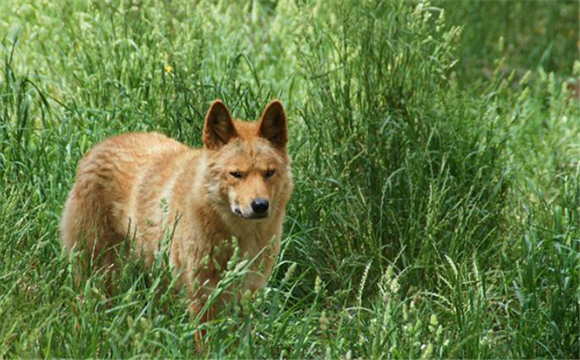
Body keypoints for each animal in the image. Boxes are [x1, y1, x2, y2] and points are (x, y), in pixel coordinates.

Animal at [61, 100, 292, 324]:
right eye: (236, 174)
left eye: (269, 173)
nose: (260, 205)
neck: (238, 236)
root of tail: (98, 146)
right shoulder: (201, 298)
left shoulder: (246, 296)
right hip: (97, 270)